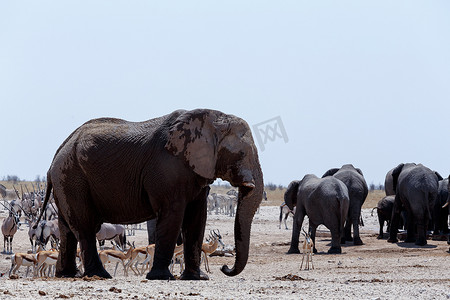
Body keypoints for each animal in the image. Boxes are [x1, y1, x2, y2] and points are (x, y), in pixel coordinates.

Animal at [35, 109, 264, 280]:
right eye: (241, 153)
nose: (225, 268)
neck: (212, 119)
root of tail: (57, 153)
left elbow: (197, 218)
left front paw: (197, 278)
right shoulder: (167, 170)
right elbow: (173, 216)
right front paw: (162, 277)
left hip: (66, 180)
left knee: (67, 228)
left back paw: (67, 275)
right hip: (73, 177)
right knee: (84, 226)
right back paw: (100, 275)